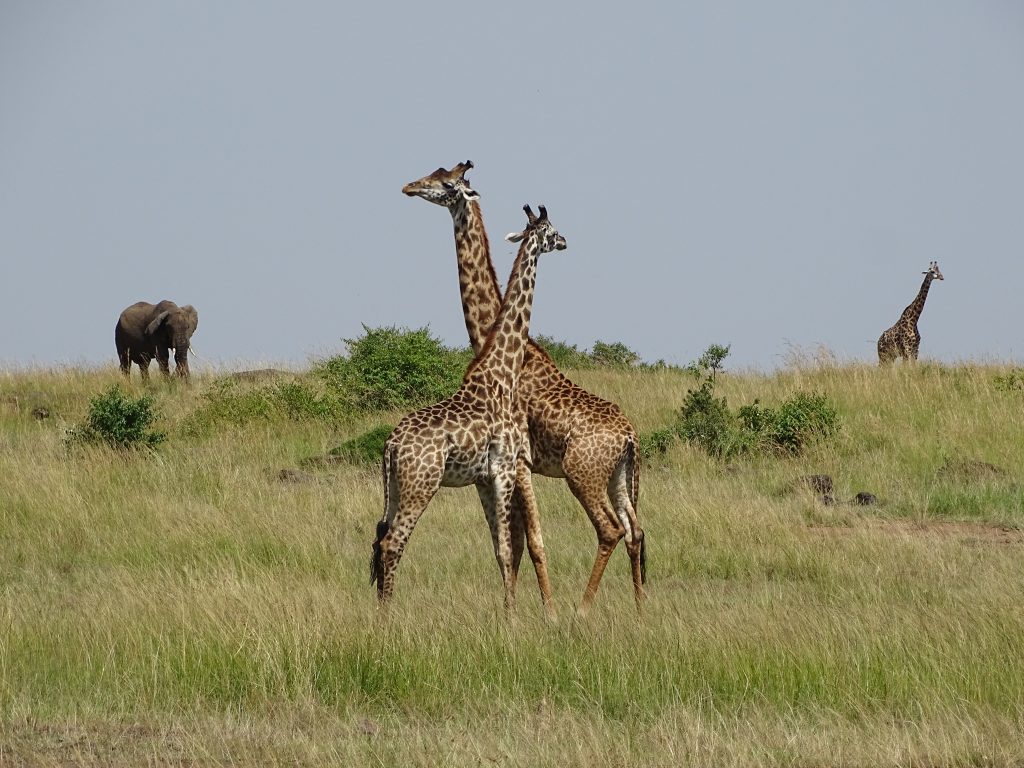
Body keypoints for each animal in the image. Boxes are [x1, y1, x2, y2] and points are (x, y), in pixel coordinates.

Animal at [370, 204, 569, 614]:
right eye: (551, 229)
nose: (565, 241)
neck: (502, 371)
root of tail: (391, 445)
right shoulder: (505, 469)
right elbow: (509, 548)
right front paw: (511, 617)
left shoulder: (484, 478)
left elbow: (501, 549)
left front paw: (509, 611)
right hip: (421, 484)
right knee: (394, 542)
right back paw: (388, 616)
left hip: (394, 487)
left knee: (379, 539)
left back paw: (379, 609)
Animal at [401, 163, 647, 618]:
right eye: (432, 174)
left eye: (445, 184)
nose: (409, 187)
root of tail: (630, 436)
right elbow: (515, 542)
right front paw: (514, 608)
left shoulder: (520, 463)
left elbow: (528, 541)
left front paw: (544, 611)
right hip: (620, 477)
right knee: (636, 530)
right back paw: (641, 607)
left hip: (581, 473)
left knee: (610, 529)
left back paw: (581, 610)